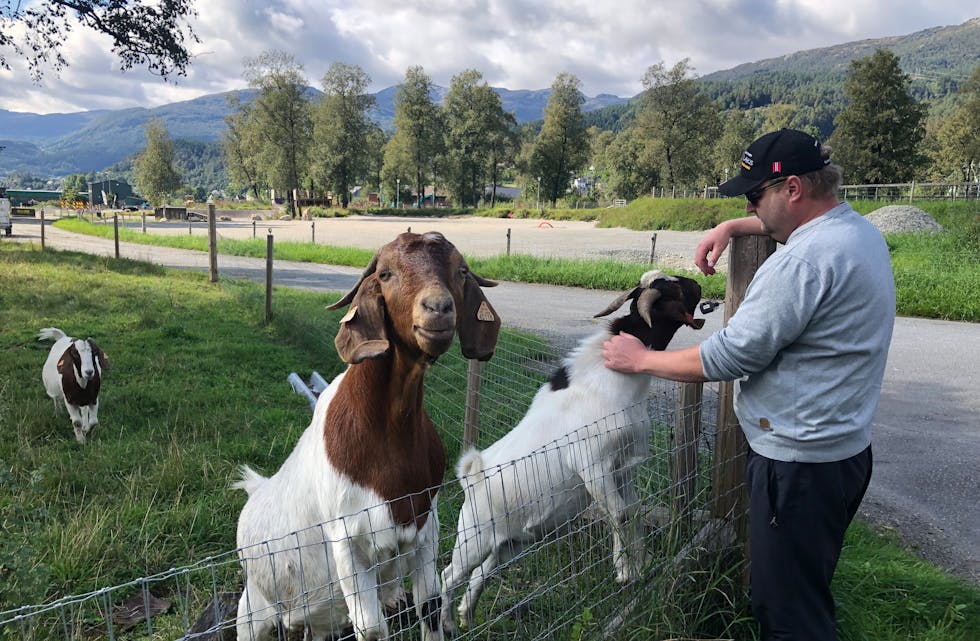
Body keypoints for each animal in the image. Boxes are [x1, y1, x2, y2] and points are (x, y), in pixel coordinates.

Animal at [234, 232, 502, 640]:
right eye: (386, 273)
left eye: (461, 271)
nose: (438, 308)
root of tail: (255, 489)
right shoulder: (347, 543)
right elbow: (373, 629)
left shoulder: (425, 528)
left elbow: (429, 607)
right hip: (253, 610)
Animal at [438, 270, 704, 632]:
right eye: (674, 288)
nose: (700, 284)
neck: (608, 380)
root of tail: (472, 475)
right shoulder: (592, 464)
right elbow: (619, 513)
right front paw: (624, 570)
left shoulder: (623, 466)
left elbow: (632, 510)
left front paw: (638, 565)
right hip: (473, 536)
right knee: (448, 575)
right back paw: (446, 626)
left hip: (508, 542)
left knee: (482, 572)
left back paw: (466, 614)